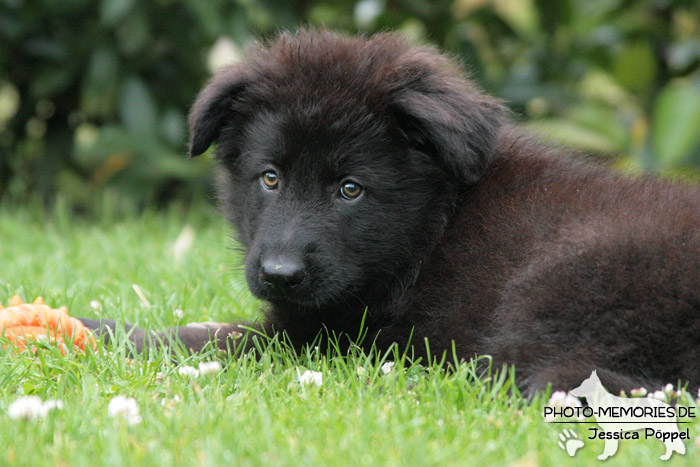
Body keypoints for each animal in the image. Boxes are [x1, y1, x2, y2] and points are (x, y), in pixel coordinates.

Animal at [79, 30, 696, 394]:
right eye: (270, 178)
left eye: (350, 189)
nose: (279, 274)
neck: (433, 231)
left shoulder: (325, 336)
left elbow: (209, 339)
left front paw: (102, 331)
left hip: (566, 276)